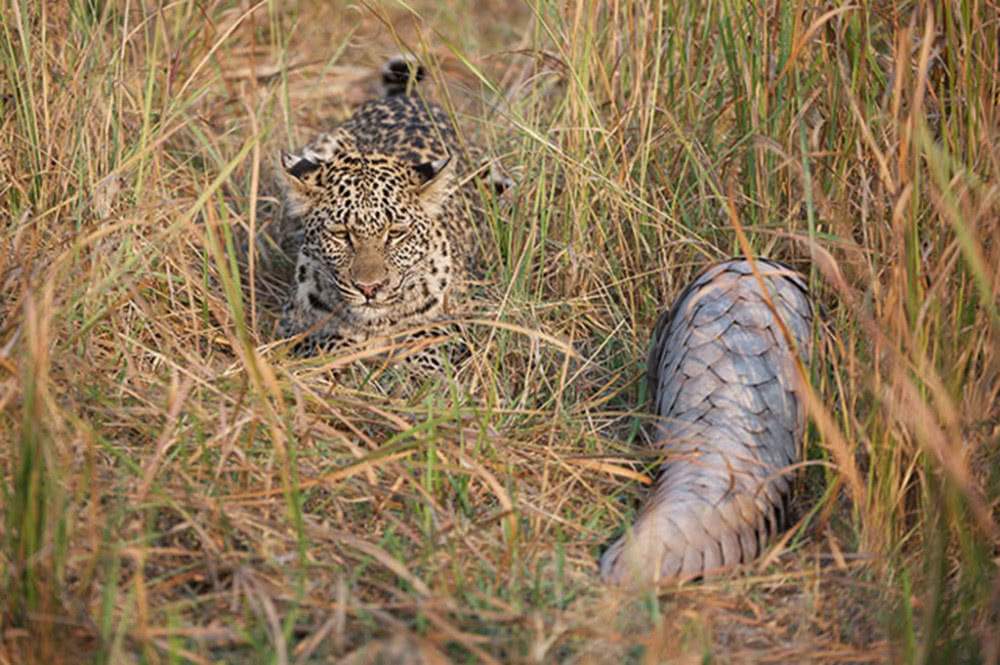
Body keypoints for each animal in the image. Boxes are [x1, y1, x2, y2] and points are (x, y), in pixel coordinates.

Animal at [278, 56, 504, 374]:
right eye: (341, 234)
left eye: (395, 234)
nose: (369, 288)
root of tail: (407, 99)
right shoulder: (289, 324)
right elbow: (325, 341)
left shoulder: (468, 314)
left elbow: (428, 340)